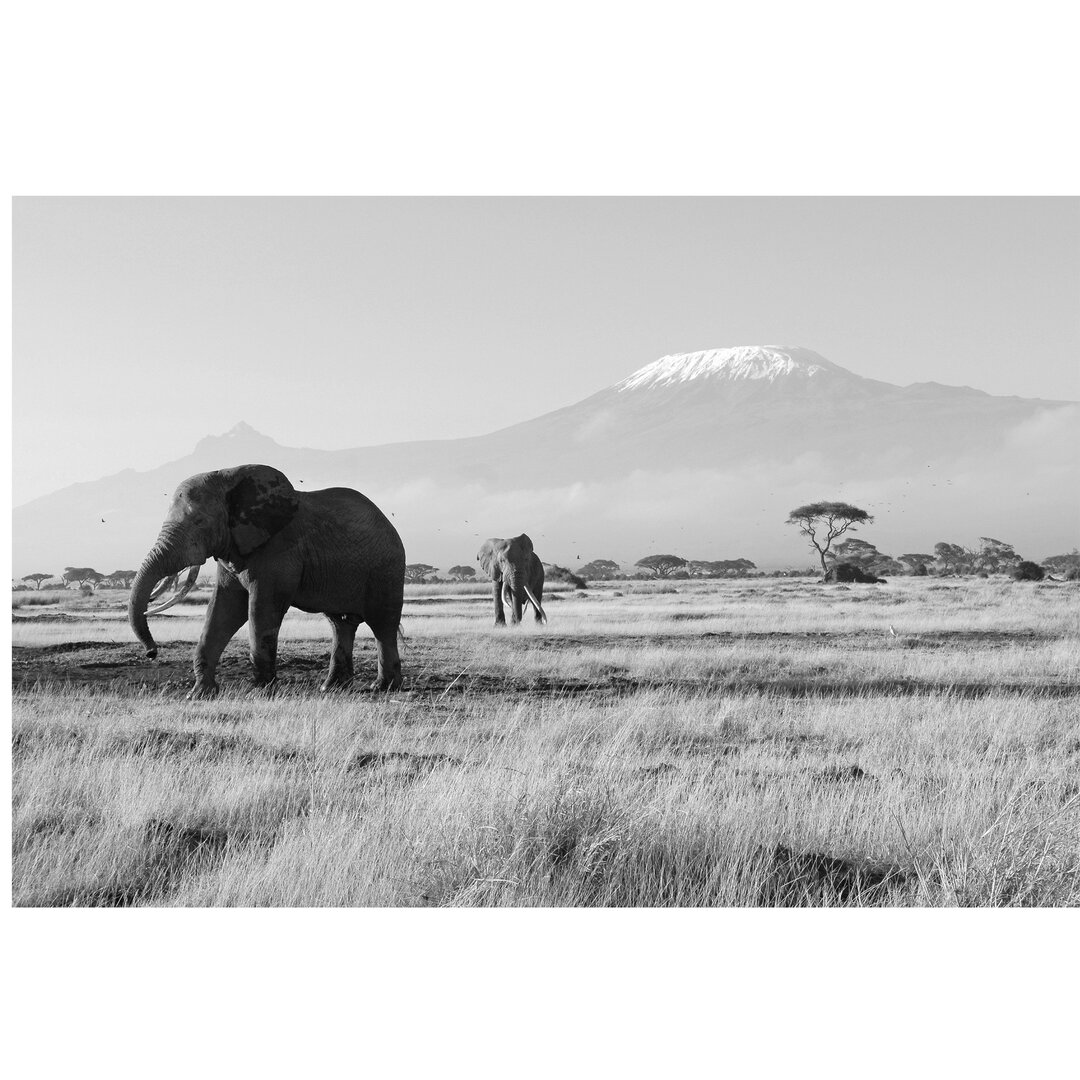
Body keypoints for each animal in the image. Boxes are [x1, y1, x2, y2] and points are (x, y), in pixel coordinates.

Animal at [128, 460, 406, 695]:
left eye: (199, 521)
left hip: (387, 570)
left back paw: (383, 688)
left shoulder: (279, 549)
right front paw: (200, 694)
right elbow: (223, 610)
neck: (228, 477)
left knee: (383, 626)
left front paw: (261, 691)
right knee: (340, 624)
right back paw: (332, 688)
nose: (151, 653)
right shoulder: (233, 548)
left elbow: (261, 609)